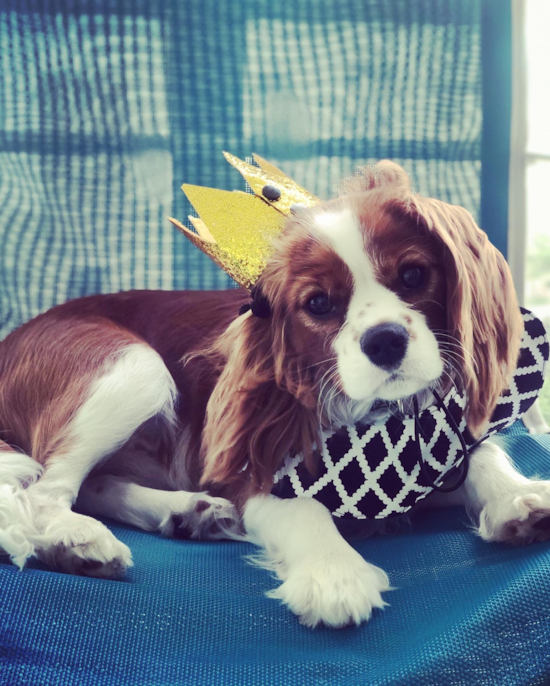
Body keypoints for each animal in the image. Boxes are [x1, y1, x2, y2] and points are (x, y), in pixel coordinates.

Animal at [1, 163, 550, 628]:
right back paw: (72, 539)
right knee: (46, 489)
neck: (379, 422)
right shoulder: (252, 468)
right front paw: (334, 574)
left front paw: (517, 497)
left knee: (93, 484)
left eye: (414, 275)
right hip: (135, 367)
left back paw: (187, 513)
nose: (385, 340)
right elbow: (304, 507)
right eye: (319, 304)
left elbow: (479, 456)